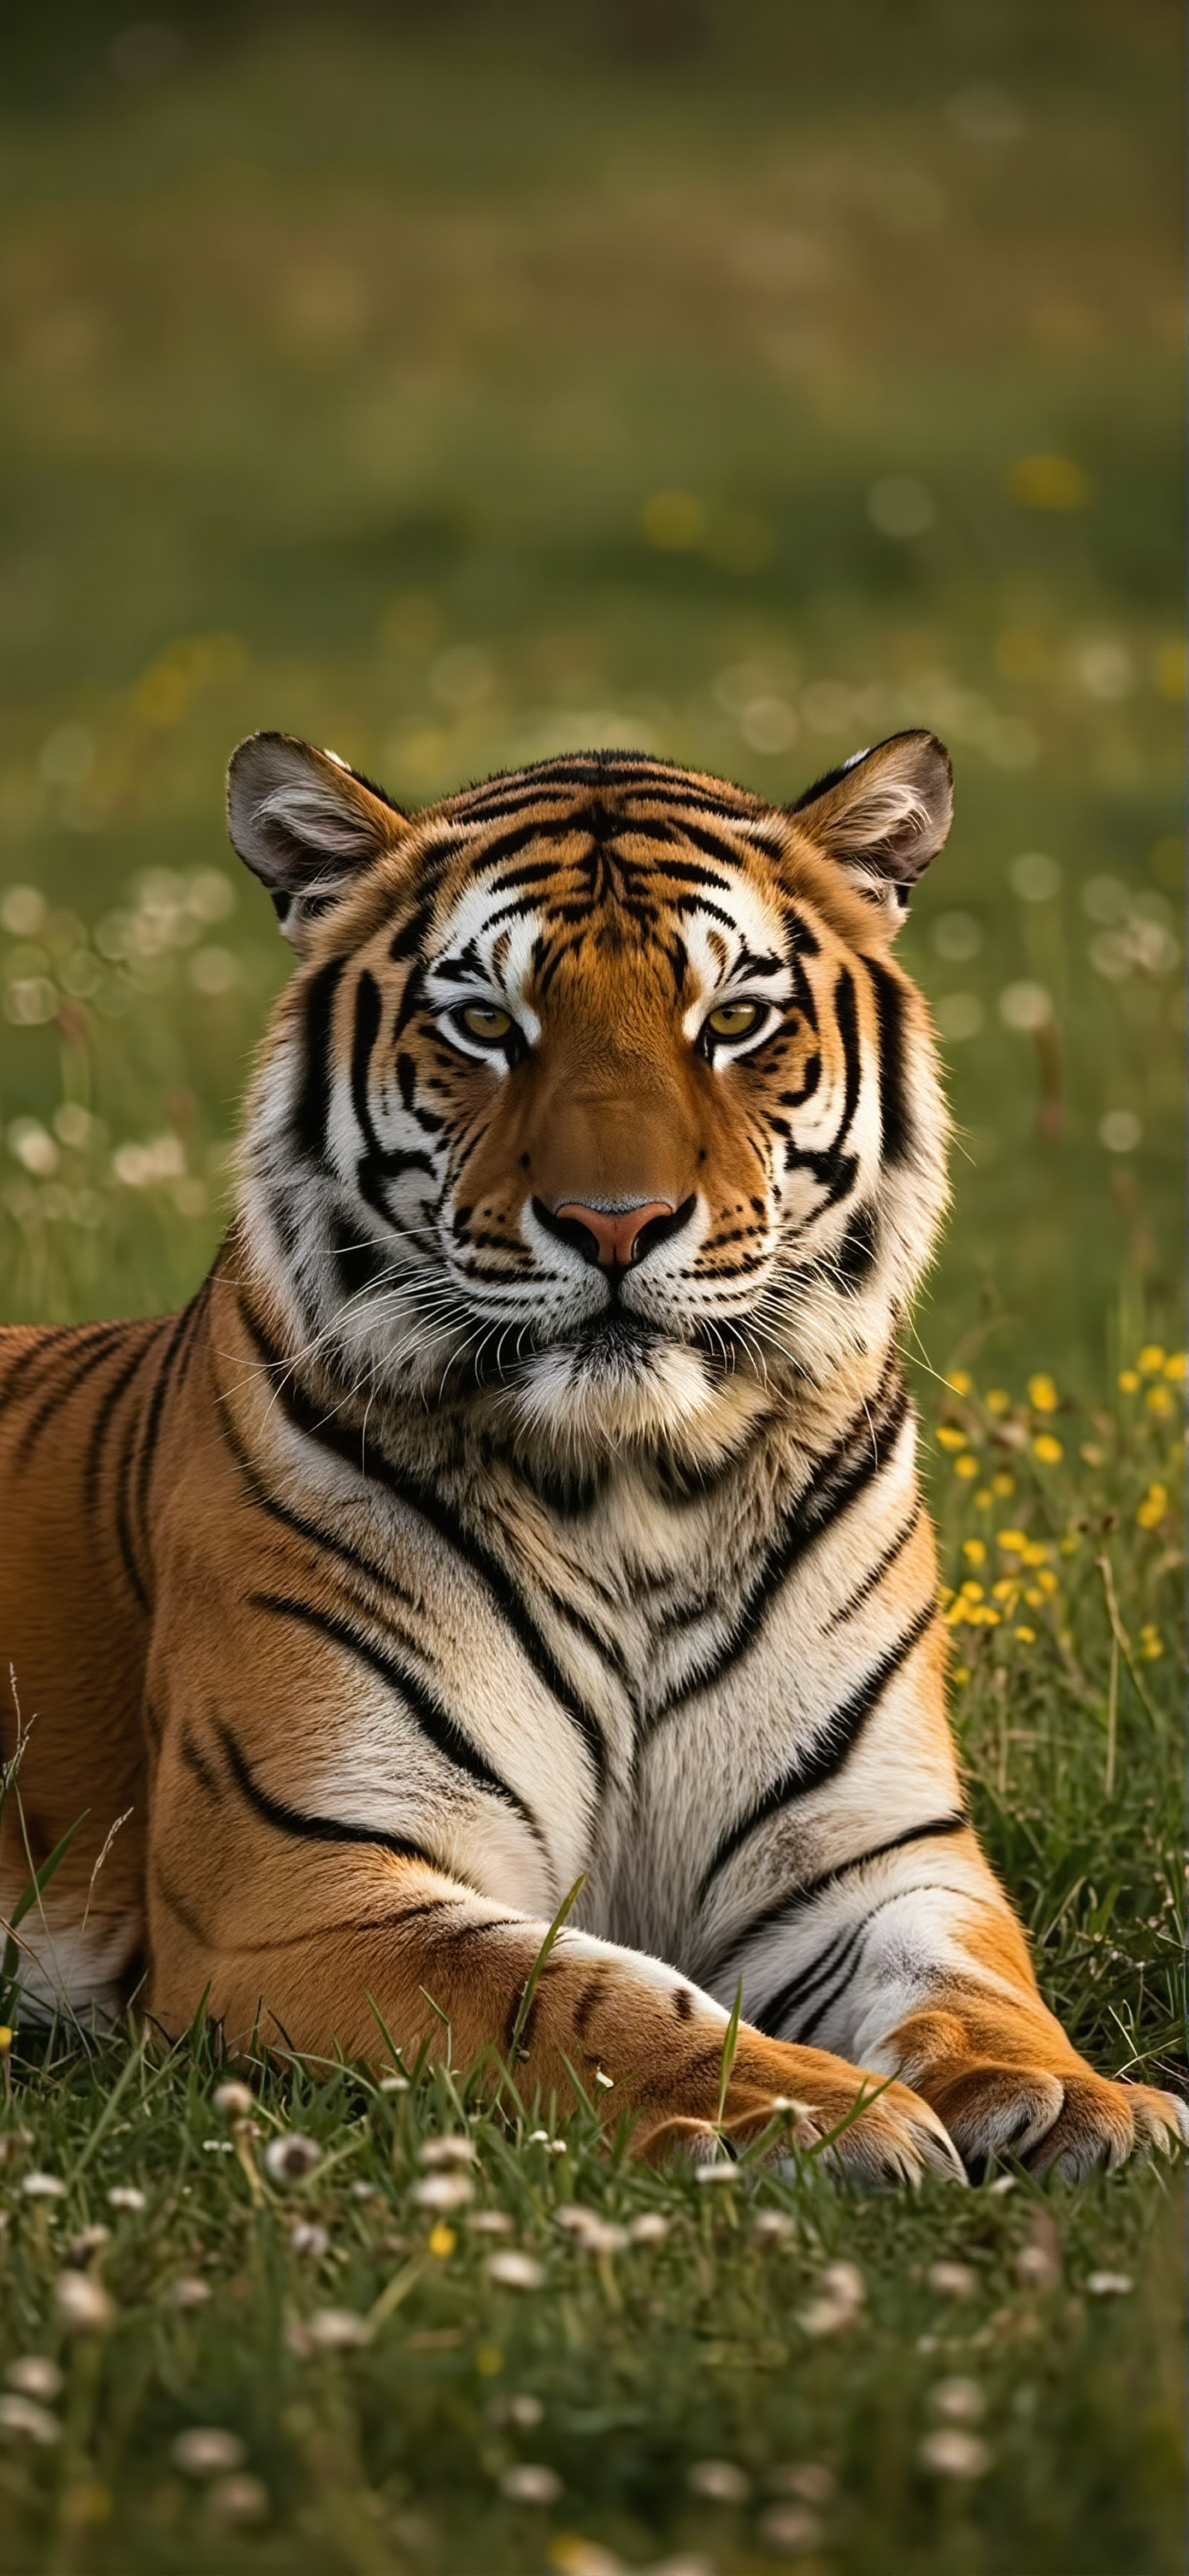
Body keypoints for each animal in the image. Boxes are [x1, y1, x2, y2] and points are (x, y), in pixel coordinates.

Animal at [1, 724, 1184, 2183]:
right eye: (484, 1025)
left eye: (731, 1021)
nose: (613, 1222)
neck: (638, 1497)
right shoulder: (295, 1878)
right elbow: (573, 1988)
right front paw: (810, 2108)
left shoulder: (871, 1854)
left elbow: (968, 1980)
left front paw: (1073, 2098)